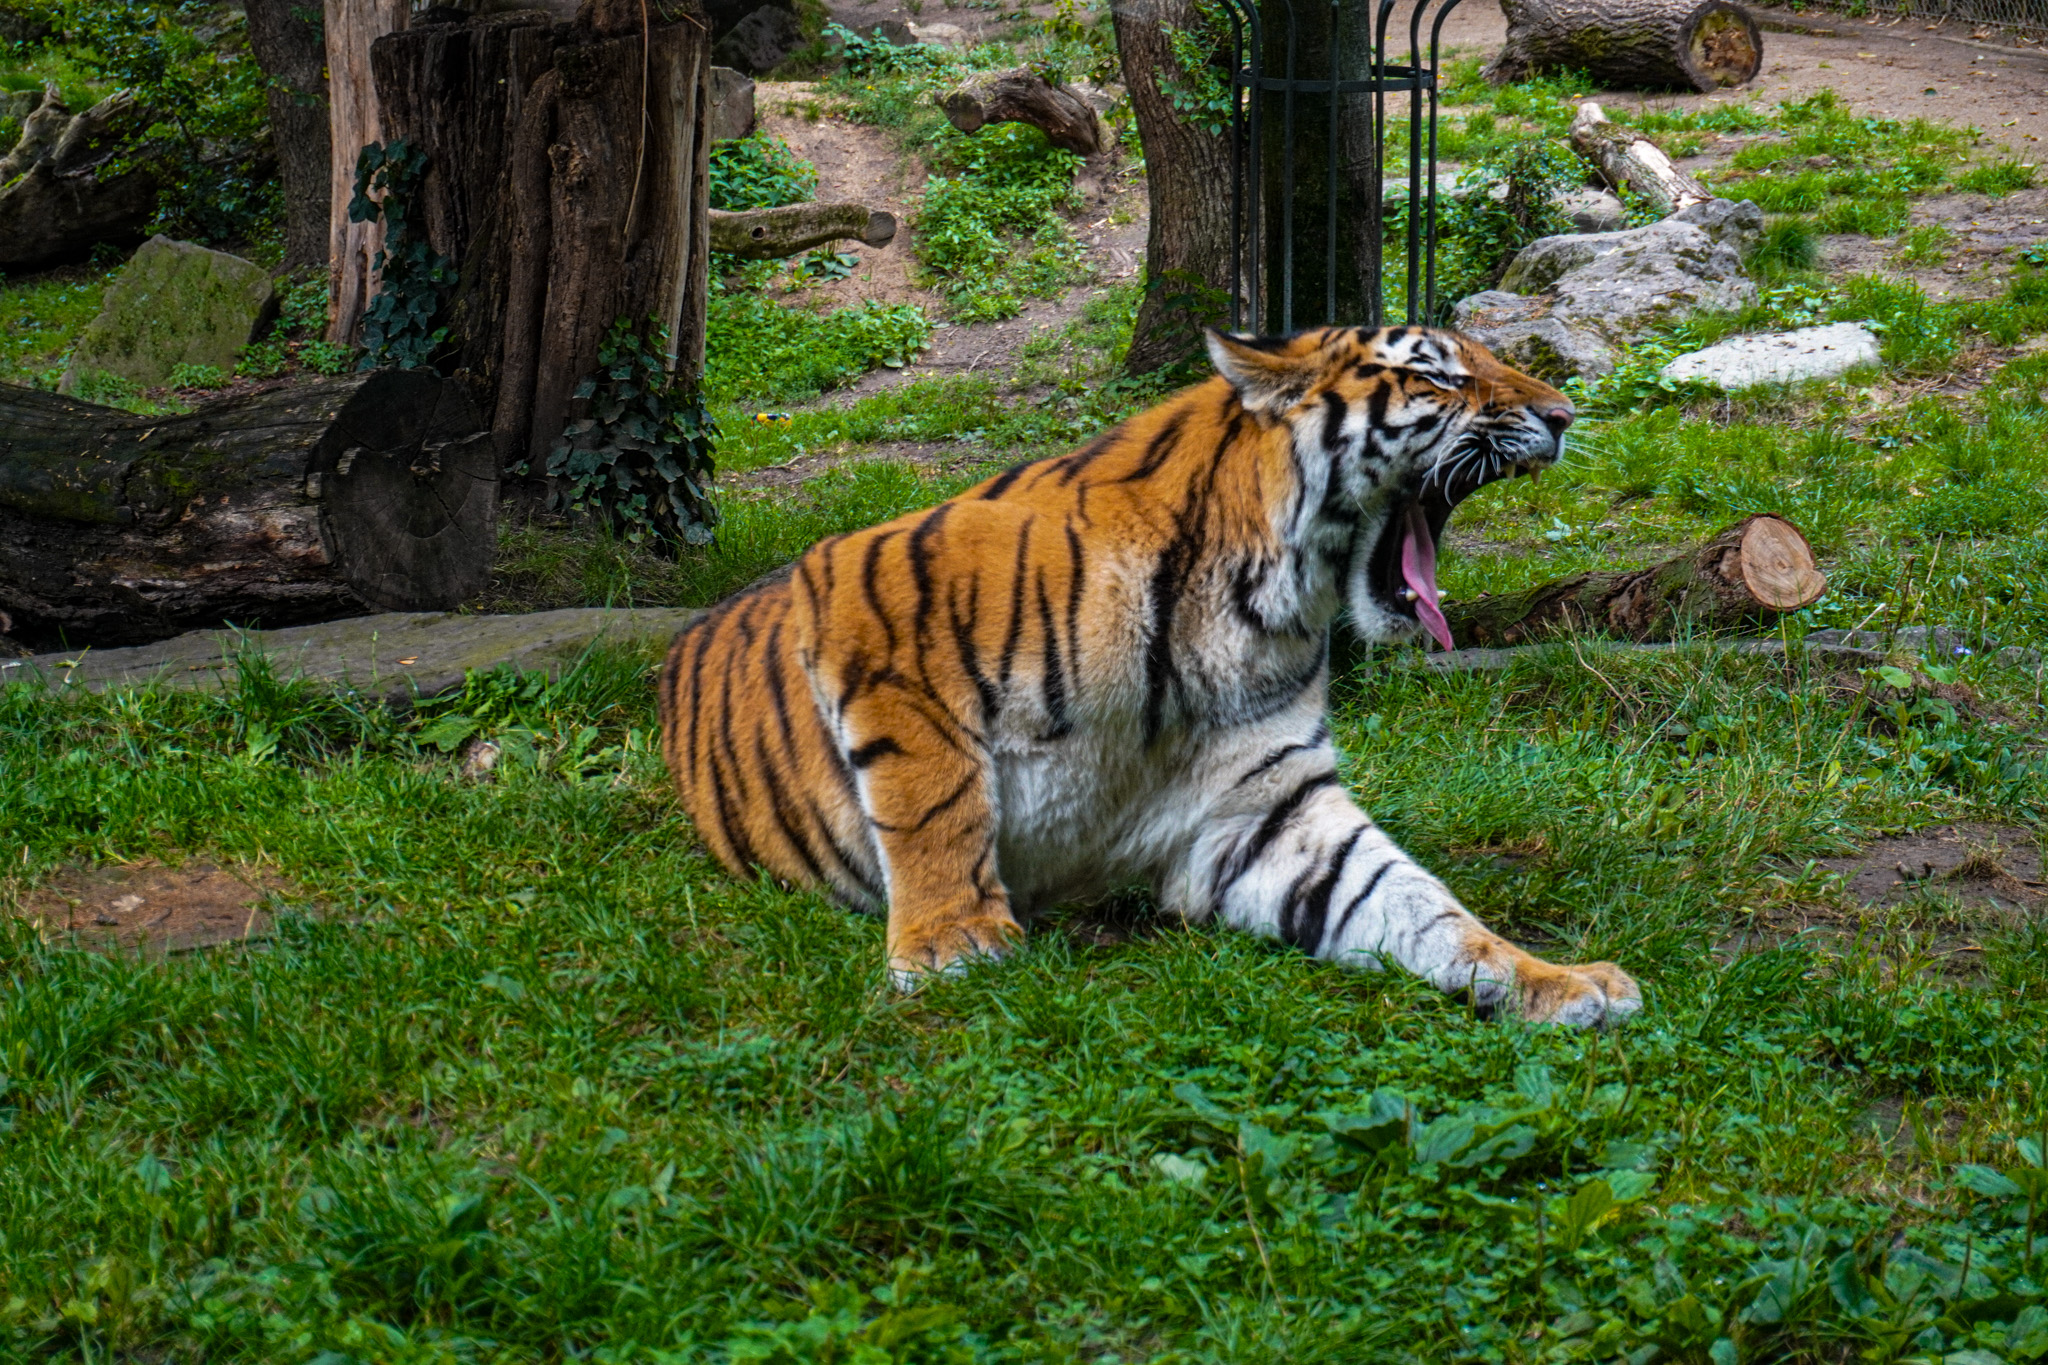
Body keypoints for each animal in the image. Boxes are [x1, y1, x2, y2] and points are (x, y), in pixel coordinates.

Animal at [659, 325, 1641, 1027]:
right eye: (1440, 377)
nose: (1564, 415)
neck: (1258, 603)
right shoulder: (875, 603)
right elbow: (935, 799)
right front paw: (952, 939)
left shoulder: (1269, 812)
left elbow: (1414, 903)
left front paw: (1556, 980)